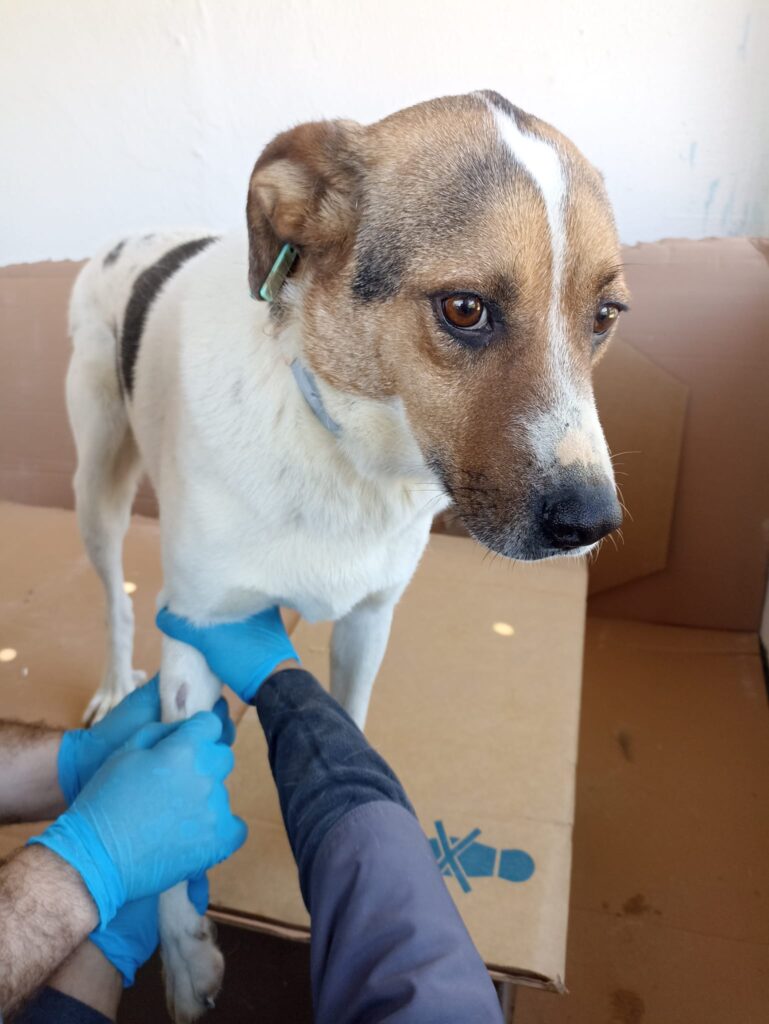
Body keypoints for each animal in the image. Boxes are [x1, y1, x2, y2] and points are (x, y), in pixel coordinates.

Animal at [66, 90, 627, 1021]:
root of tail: (135, 235)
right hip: (97, 481)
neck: (345, 455)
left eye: (605, 316)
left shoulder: (369, 617)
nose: (593, 521)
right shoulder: (194, 630)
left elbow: (346, 717)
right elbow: (177, 833)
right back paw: (112, 683)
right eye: (464, 309)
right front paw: (182, 961)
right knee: (112, 593)